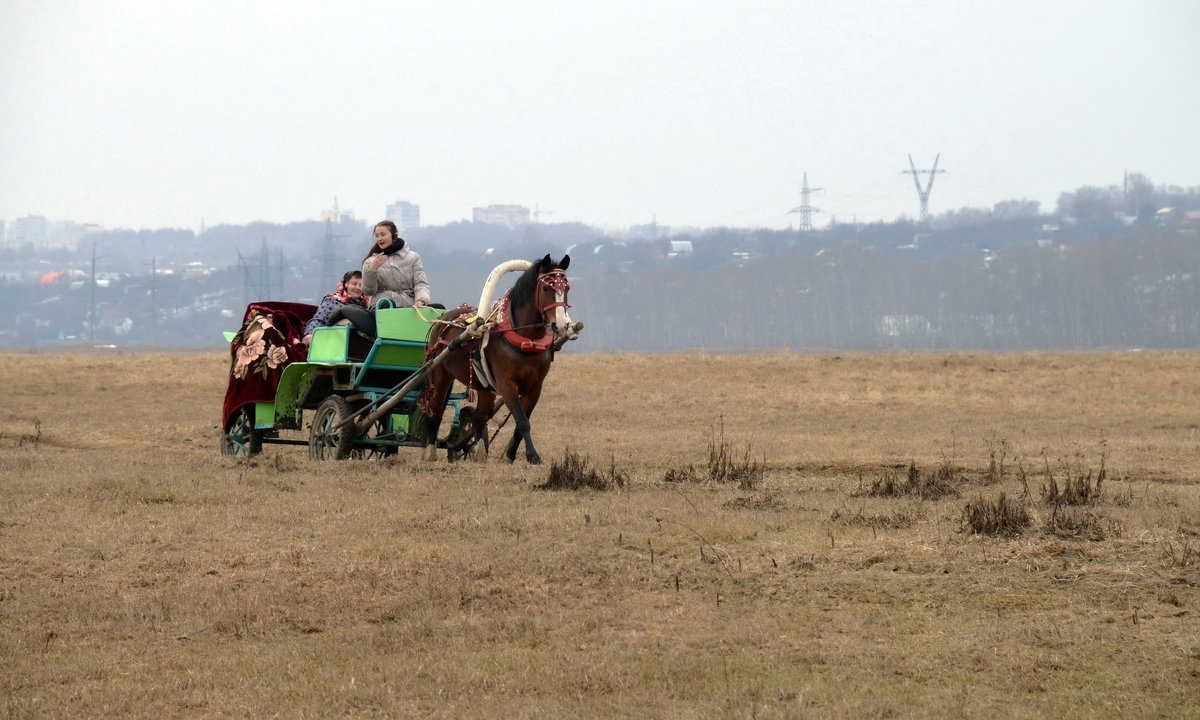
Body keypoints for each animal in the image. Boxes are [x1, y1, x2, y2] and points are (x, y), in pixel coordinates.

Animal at [420, 255, 573, 463]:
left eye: (566, 288)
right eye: (545, 288)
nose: (562, 325)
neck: (526, 341)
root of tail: (444, 319)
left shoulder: (535, 387)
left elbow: (522, 422)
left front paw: (511, 454)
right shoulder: (507, 385)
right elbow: (522, 421)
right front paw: (532, 455)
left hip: (484, 386)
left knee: (478, 418)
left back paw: (476, 452)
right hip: (440, 375)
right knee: (435, 411)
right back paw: (430, 452)